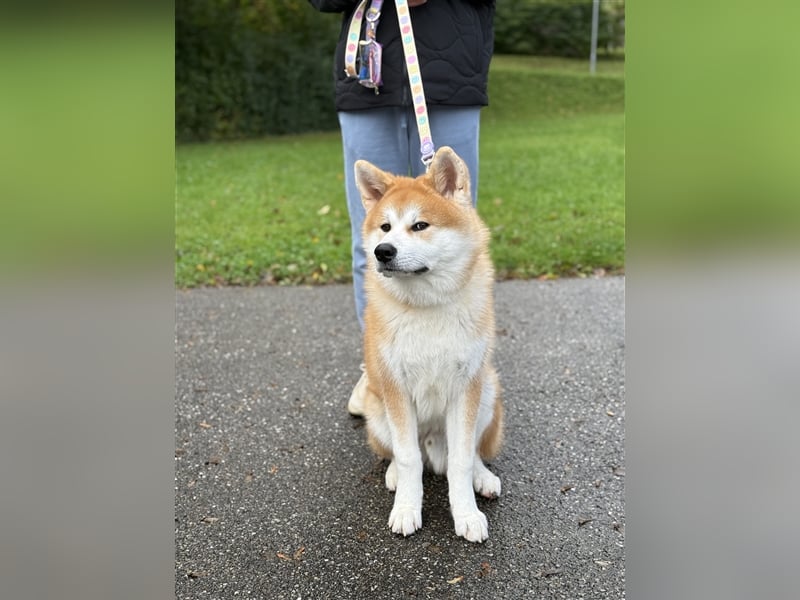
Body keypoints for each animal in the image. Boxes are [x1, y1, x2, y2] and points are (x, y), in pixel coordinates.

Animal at [354, 146, 504, 544]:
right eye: (385, 227)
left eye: (419, 226)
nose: (382, 251)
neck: (427, 309)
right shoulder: (396, 388)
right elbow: (408, 458)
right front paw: (407, 508)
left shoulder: (466, 387)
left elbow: (462, 460)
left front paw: (466, 514)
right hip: (377, 408)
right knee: (399, 453)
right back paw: (393, 474)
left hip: (488, 391)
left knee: (469, 452)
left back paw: (482, 477)